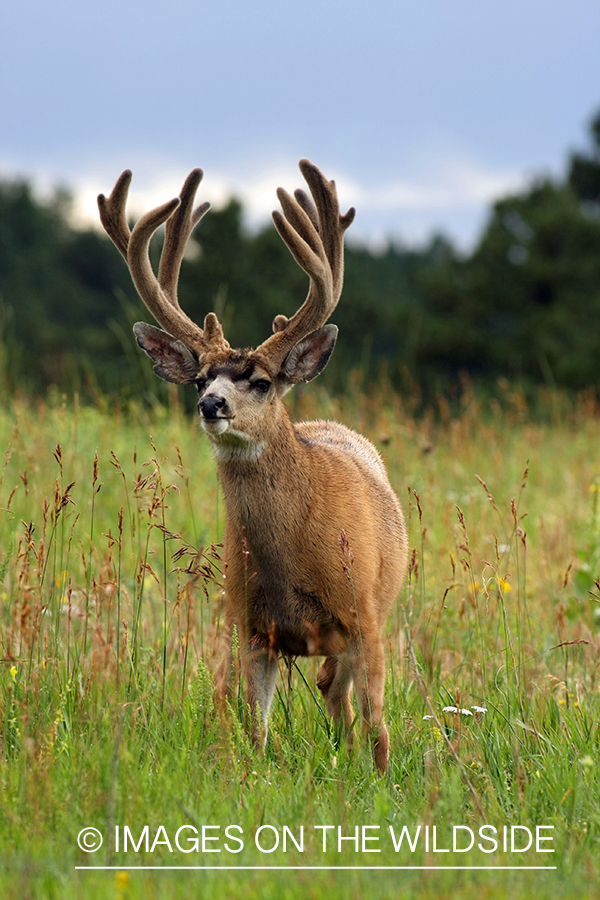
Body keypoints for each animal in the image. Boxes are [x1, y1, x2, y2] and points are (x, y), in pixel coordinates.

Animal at [97, 158, 408, 768]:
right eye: (200, 378)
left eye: (261, 382)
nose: (211, 404)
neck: (293, 558)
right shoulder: (249, 626)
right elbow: (254, 727)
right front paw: (255, 775)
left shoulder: (364, 613)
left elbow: (380, 723)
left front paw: (384, 780)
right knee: (331, 692)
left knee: (350, 699)